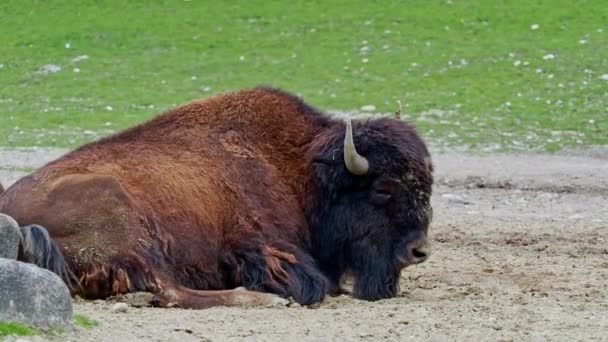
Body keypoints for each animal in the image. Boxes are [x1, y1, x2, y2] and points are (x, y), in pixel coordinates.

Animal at [1, 87, 436, 308]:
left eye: (427, 186)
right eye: (383, 188)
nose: (419, 252)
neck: (300, 167)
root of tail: (12, 212)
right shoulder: (261, 247)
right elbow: (314, 283)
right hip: (123, 220)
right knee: (170, 291)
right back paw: (258, 299)